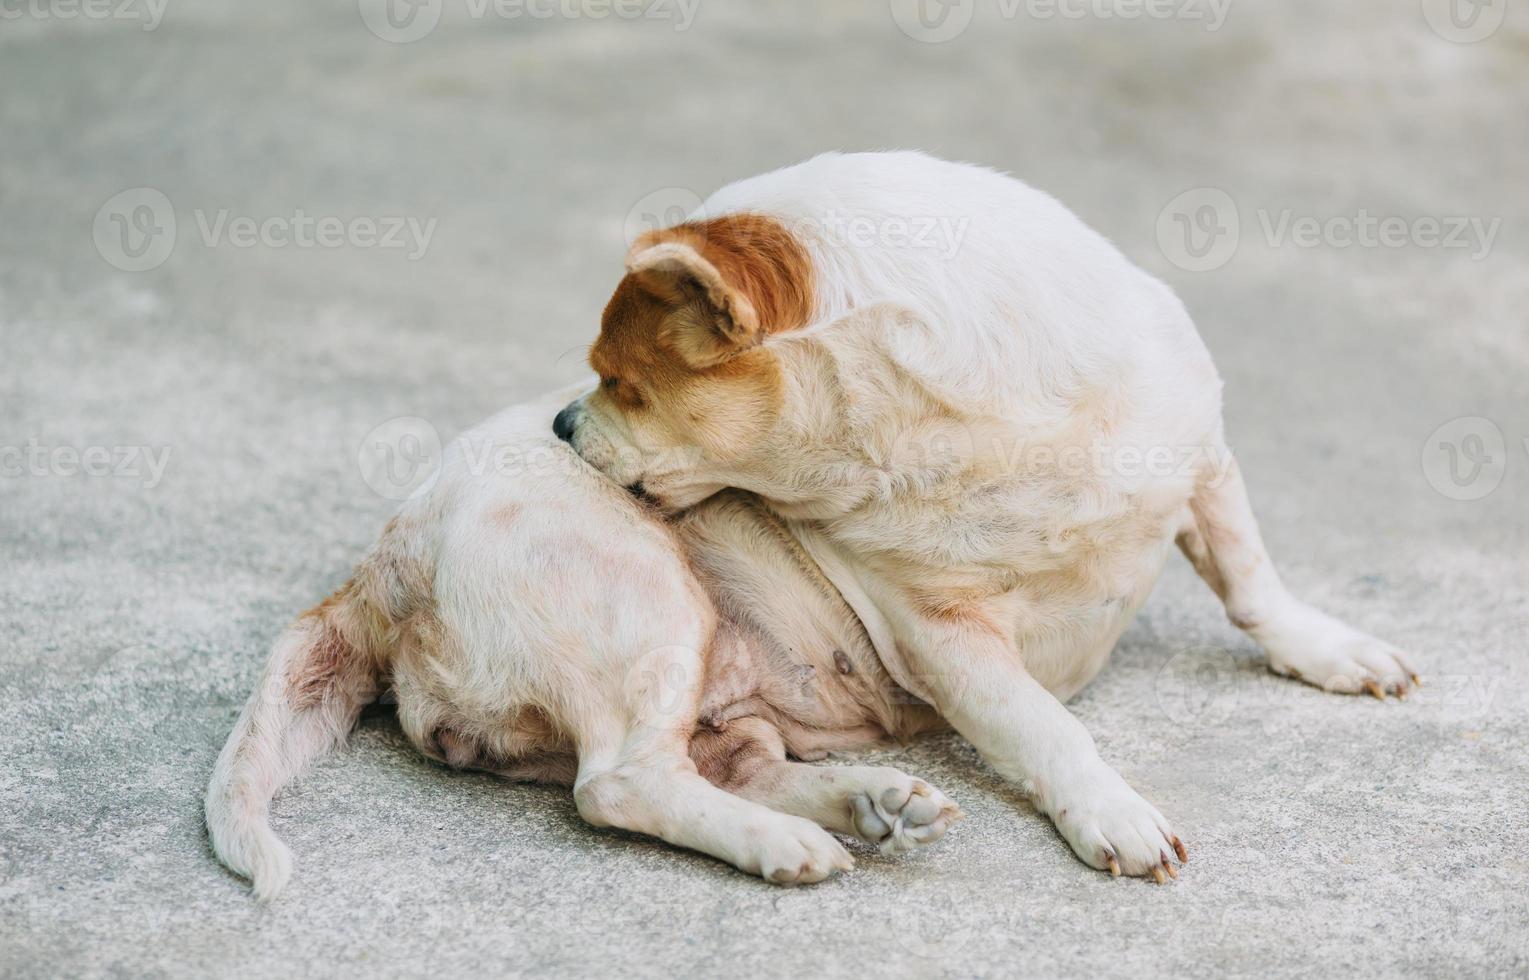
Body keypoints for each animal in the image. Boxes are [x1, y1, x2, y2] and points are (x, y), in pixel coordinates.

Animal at [209, 383, 960, 905]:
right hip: (655, 599)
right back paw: (783, 838)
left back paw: (870, 802)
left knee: (742, 771)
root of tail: (384, 565)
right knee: (620, 783)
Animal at [553, 151, 1418, 880]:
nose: (560, 423)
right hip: (653, 613)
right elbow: (1046, 726)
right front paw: (1108, 806)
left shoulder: (1203, 463)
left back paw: (863, 808)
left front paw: (1325, 649)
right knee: (622, 782)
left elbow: (1251, 581)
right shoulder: (944, 638)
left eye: (620, 384)